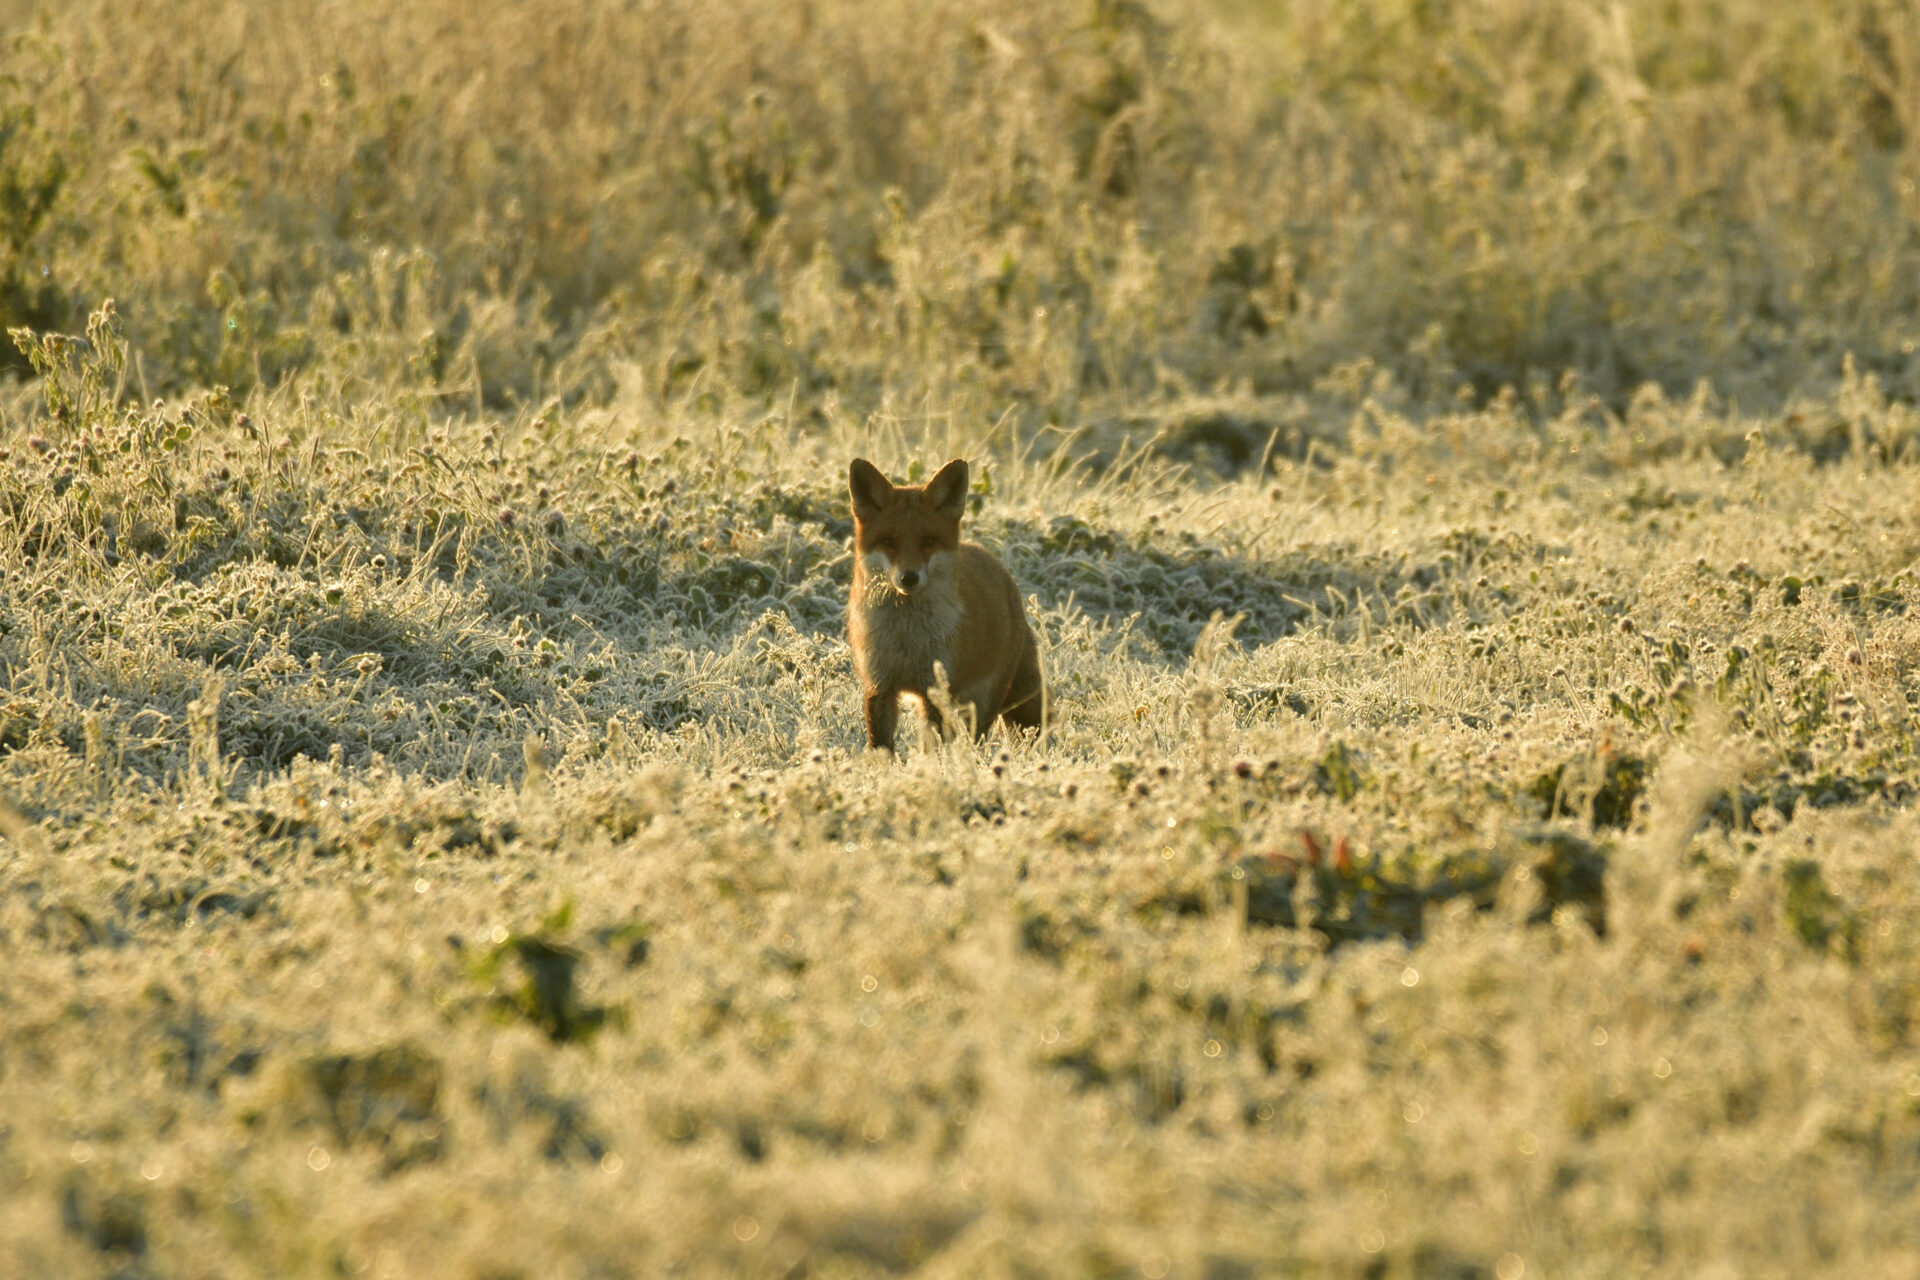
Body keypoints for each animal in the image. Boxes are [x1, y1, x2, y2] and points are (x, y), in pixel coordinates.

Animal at [848, 457, 1047, 753]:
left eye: (928, 541)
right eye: (888, 542)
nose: (909, 577)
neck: (906, 638)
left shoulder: (935, 689)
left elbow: (932, 746)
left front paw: (932, 765)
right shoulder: (880, 685)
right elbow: (881, 747)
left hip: (983, 701)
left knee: (975, 737)